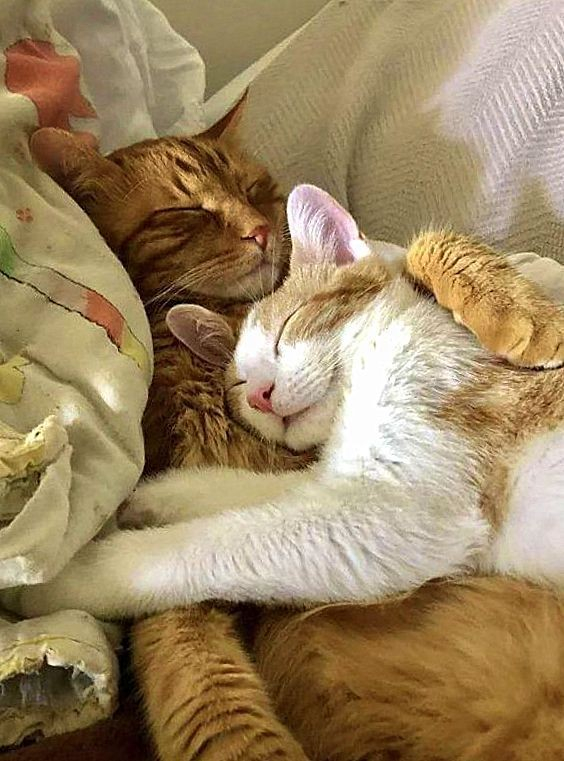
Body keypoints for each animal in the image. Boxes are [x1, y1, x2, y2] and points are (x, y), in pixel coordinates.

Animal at [7, 184, 564, 616]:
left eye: (287, 330)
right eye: (237, 384)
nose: (260, 394)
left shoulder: (390, 513)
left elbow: (211, 543)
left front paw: (65, 579)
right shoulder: (336, 479)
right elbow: (258, 489)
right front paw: (163, 494)